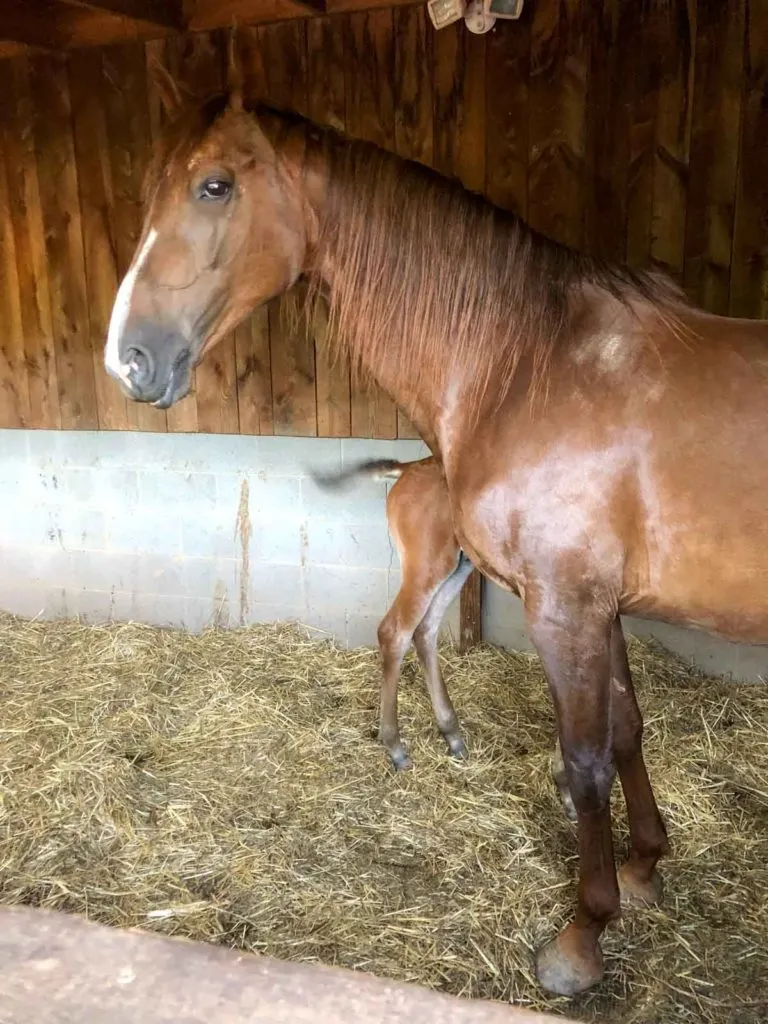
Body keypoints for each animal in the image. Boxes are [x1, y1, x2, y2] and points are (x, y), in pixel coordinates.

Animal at [102, 64, 768, 991]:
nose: (127, 357)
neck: (526, 363)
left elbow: (586, 763)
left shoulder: (564, 607)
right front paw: (642, 869)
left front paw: (582, 936)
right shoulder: (598, 605)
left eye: (215, 185)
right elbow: (628, 730)